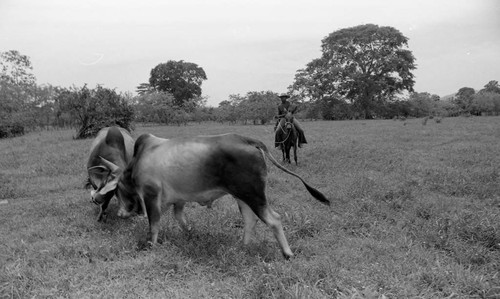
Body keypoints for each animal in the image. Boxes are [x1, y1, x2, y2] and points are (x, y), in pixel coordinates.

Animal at [91, 134, 330, 260]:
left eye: (117, 189)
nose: (121, 213)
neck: (139, 160)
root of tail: (250, 141)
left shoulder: (151, 196)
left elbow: (154, 225)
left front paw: (151, 245)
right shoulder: (178, 200)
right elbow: (180, 218)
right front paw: (191, 233)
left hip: (253, 194)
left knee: (274, 219)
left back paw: (287, 253)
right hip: (242, 196)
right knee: (250, 220)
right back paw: (242, 247)